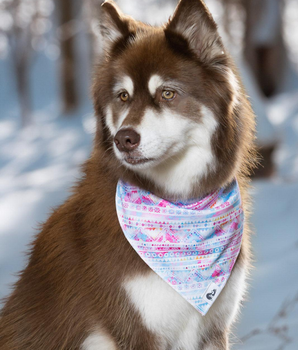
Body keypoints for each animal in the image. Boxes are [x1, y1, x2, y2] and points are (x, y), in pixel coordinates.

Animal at [0, 0, 256, 350]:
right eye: (123, 96)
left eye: (167, 93)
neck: (180, 206)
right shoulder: (136, 331)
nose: (124, 139)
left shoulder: (214, 330)